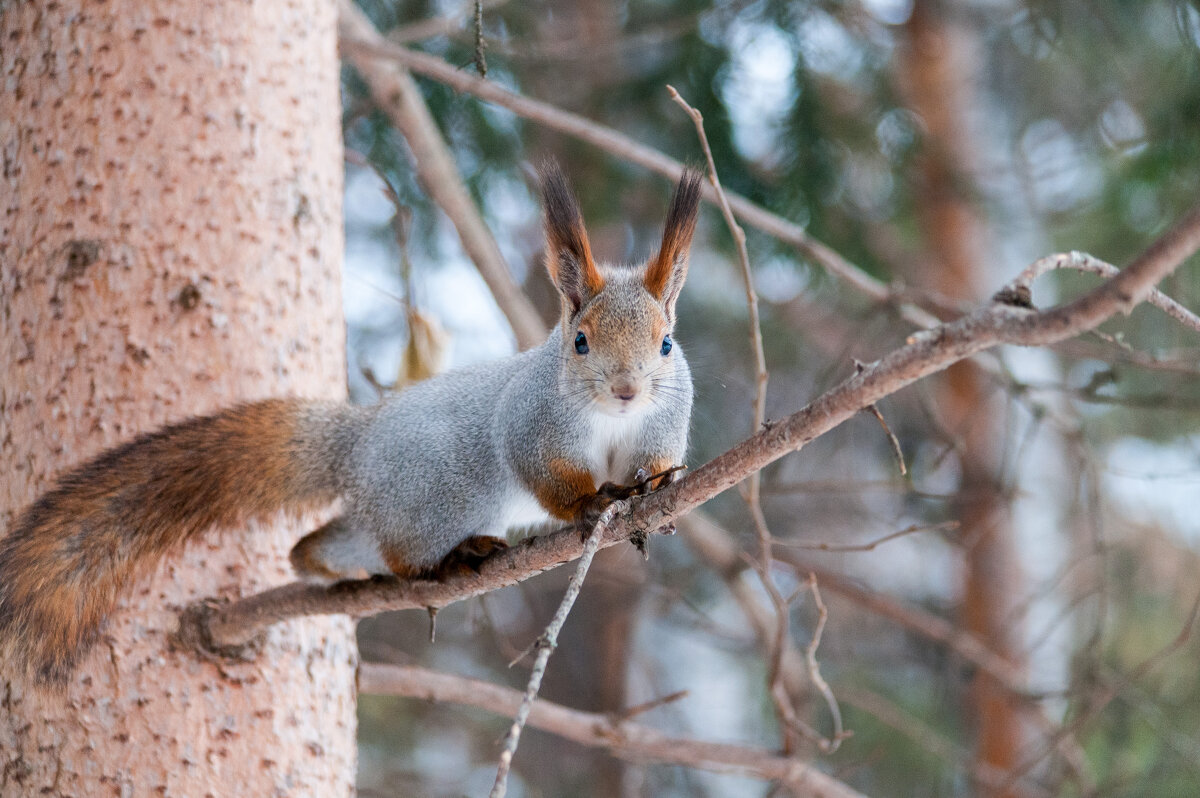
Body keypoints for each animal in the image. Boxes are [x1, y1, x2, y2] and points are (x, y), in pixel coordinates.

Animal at [0, 163, 700, 686]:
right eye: (580, 342)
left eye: (667, 344)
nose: (627, 390)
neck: (610, 423)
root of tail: (357, 442)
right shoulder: (530, 423)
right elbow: (547, 475)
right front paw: (591, 504)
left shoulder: (663, 423)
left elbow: (656, 464)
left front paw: (659, 489)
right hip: (435, 498)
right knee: (402, 554)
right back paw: (449, 559)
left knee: (323, 546)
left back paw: (324, 563)